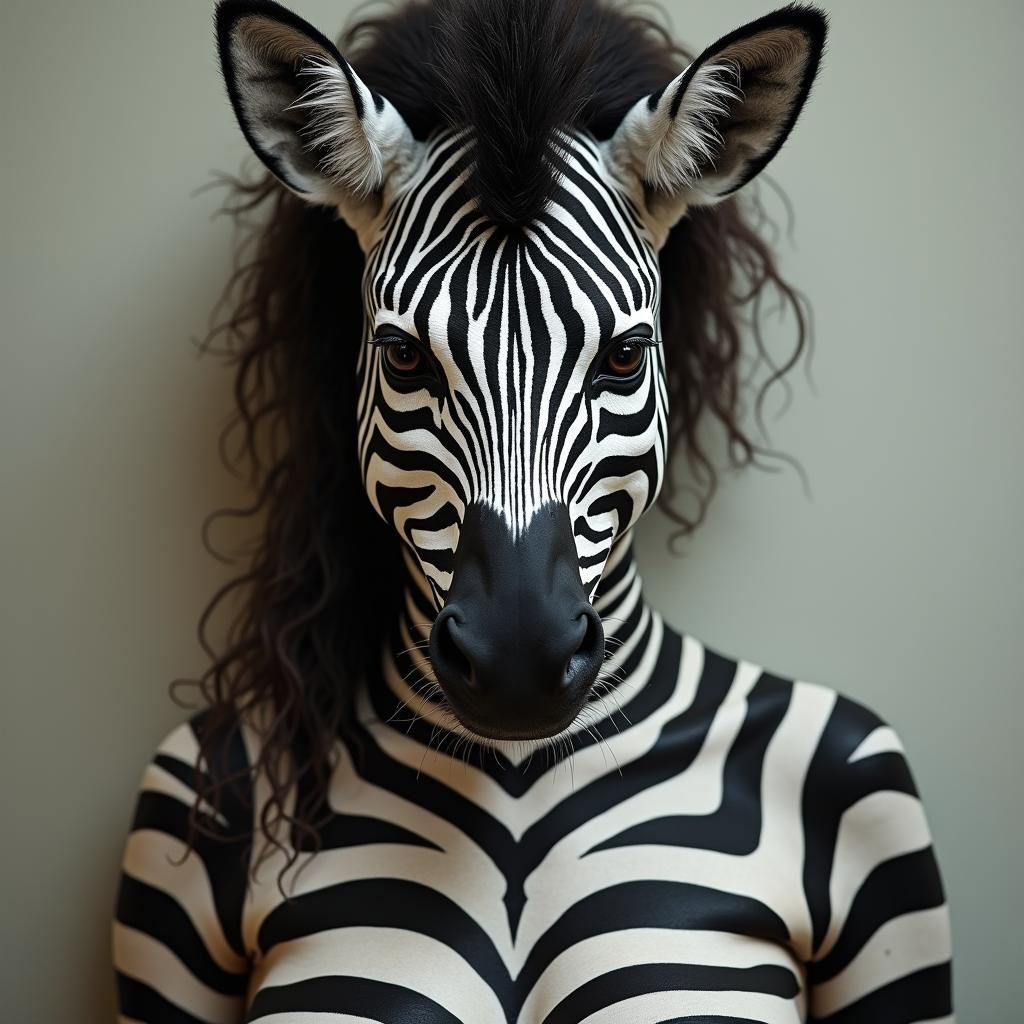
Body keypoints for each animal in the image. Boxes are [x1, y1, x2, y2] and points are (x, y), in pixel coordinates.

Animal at [114, 0, 954, 1021]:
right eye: (405, 358)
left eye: (624, 358)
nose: (518, 664)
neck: (519, 765)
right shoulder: (178, 810)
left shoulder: (874, 795)